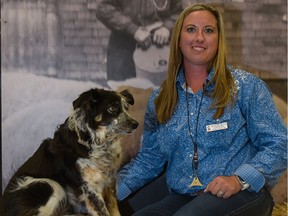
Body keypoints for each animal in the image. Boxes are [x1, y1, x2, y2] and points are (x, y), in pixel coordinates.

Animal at [0, 88, 140, 216]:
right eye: (112, 108)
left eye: (126, 108)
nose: (136, 124)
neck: (96, 141)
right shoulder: (90, 189)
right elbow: (104, 212)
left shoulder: (110, 180)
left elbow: (114, 209)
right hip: (49, 185)